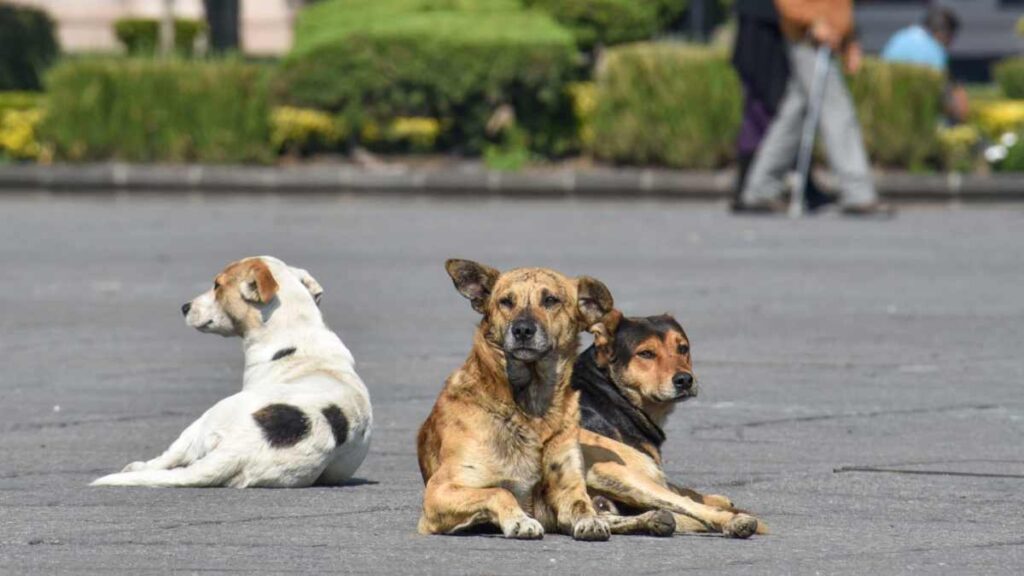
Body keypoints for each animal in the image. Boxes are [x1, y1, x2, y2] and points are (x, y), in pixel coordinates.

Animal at [91, 258, 372, 485]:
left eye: (217, 285)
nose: (184, 307)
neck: (297, 330)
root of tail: (241, 448)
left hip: (205, 419)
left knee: (168, 457)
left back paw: (137, 467)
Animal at [413, 260, 671, 537]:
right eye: (506, 301)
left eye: (550, 300)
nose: (522, 330)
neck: (530, 407)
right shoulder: (440, 491)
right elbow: (499, 491)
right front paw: (520, 520)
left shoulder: (567, 489)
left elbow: (582, 505)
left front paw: (590, 521)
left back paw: (653, 518)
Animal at [577, 311, 761, 537]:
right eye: (646, 353)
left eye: (683, 348)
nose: (684, 380)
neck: (608, 390)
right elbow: (683, 493)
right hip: (617, 474)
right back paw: (735, 521)